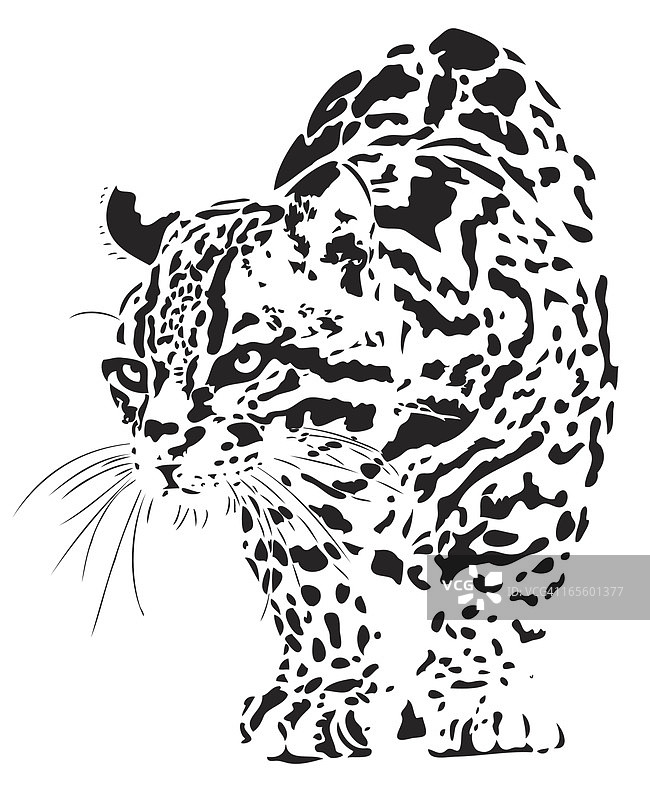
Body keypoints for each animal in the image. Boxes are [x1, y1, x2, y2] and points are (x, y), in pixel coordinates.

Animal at [22, 27, 616, 761]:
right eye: (132, 373)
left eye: (245, 361)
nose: (160, 448)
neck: (385, 435)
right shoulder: (281, 495)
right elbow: (312, 588)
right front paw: (325, 695)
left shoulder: (537, 460)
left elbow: (488, 577)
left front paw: (477, 695)